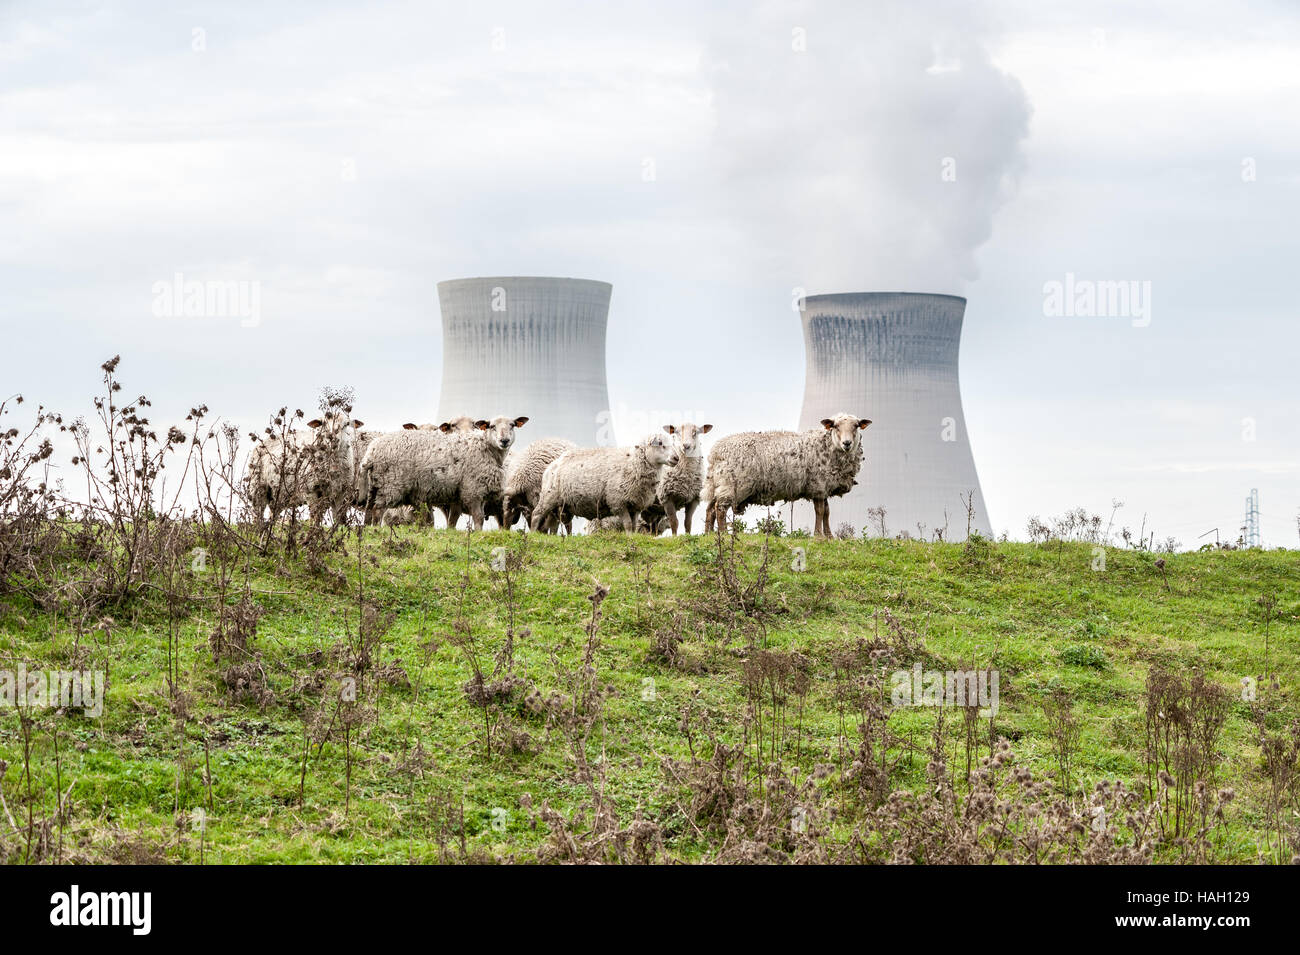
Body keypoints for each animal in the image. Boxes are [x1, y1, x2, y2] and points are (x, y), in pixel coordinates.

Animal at [361, 413, 527, 530]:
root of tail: (372, 452)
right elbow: (478, 517)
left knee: (369, 509)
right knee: (378, 510)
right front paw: (478, 534)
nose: (504, 441)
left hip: (375, 485)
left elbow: (456, 519)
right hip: (390, 485)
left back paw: (368, 530)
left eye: (512, 425)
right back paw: (376, 530)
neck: (486, 448)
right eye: (492, 426)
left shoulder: (475, 493)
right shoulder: (473, 490)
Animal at [533, 431, 686, 535]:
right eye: (660, 443)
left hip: (560, 504)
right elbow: (628, 524)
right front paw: (629, 538)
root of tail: (552, 465)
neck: (632, 463)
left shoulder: (635, 505)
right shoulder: (618, 502)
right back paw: (533, 534)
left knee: (553, 522)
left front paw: (632, 537)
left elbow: (634, 525)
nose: (676, 458)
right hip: (549, 496)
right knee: (536, 514)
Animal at [702, 415, 873, 540]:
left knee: (710, 508)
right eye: (836, 426)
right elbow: (819, 511)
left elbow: (827, 512)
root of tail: (715, 453)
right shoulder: (817, 485)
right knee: (720, 508)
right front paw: (818, 536)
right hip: (731, 485)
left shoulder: (824, 487)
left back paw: (708, 533)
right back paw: (724, 533)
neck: (828, 446)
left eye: (856, 426)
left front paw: (830, 536)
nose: (847, 443)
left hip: (719, 484)